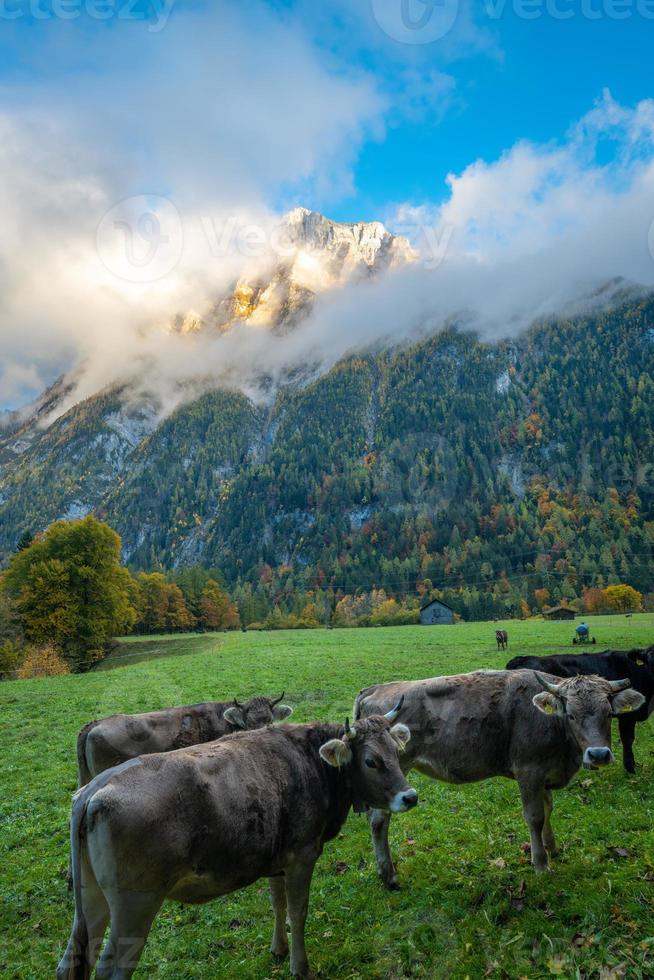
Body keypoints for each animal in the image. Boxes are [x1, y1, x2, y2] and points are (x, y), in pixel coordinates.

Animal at [55, 708, 416, 976]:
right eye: (370, 760)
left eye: (396, 751)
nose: (410, 796)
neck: (310, 762)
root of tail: (93, 791)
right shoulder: (302, 856)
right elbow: (297, 911)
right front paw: (300, 967)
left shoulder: (277, 859)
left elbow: (277, 903)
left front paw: (278, 949)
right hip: (135, 904)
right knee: (111, 967)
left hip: (92, 899)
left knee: (72, 960)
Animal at [354, 668, 644, 884]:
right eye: (571, 715)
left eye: (609, 713)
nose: (598, 754)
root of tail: (374, 689)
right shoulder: (529, 772)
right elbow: (535, 817)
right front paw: (541, 864)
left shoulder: (543, 775)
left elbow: (548, 808)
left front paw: (552, 847)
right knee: (379, 820)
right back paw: (387, 874)